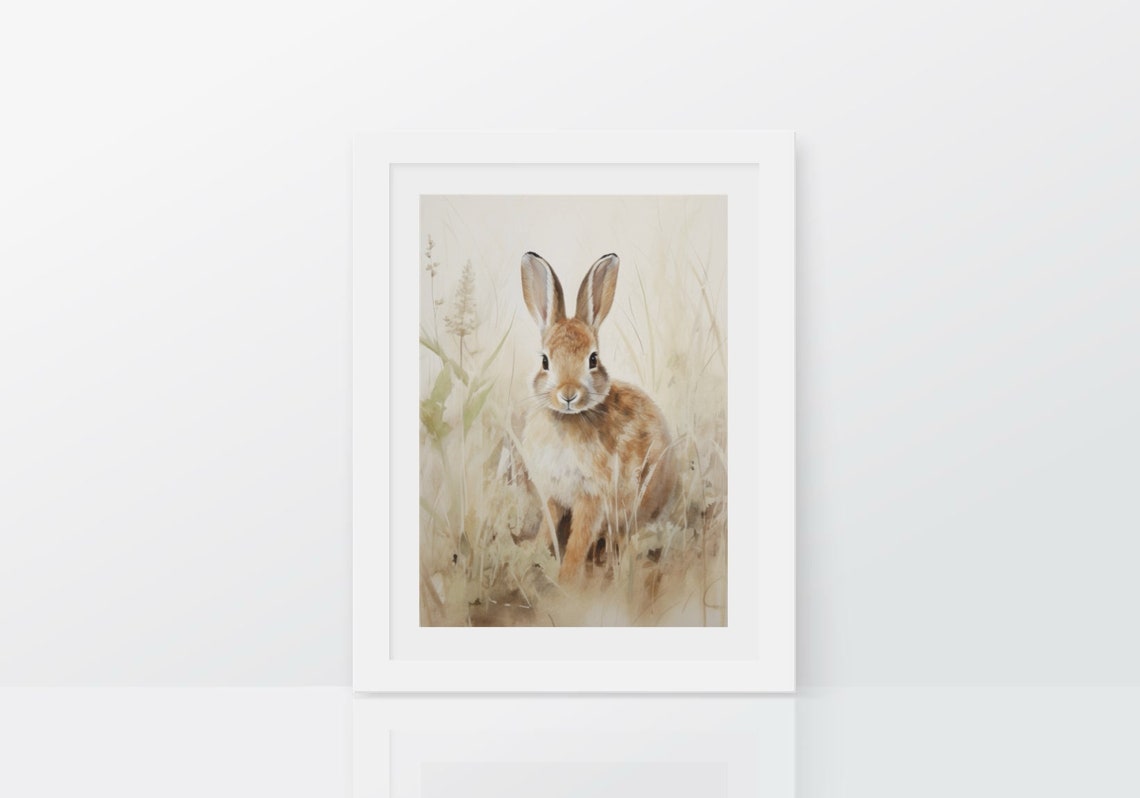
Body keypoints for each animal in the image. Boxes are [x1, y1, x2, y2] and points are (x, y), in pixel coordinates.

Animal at [520, 251, 677, 581]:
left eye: (593, 359)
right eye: (545, 361)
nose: (568, 394)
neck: (566, 419)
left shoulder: (591, 497)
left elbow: (578, 540)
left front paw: (566, 580)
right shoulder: (552, 494)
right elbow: (547, 528)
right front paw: (530, 554)